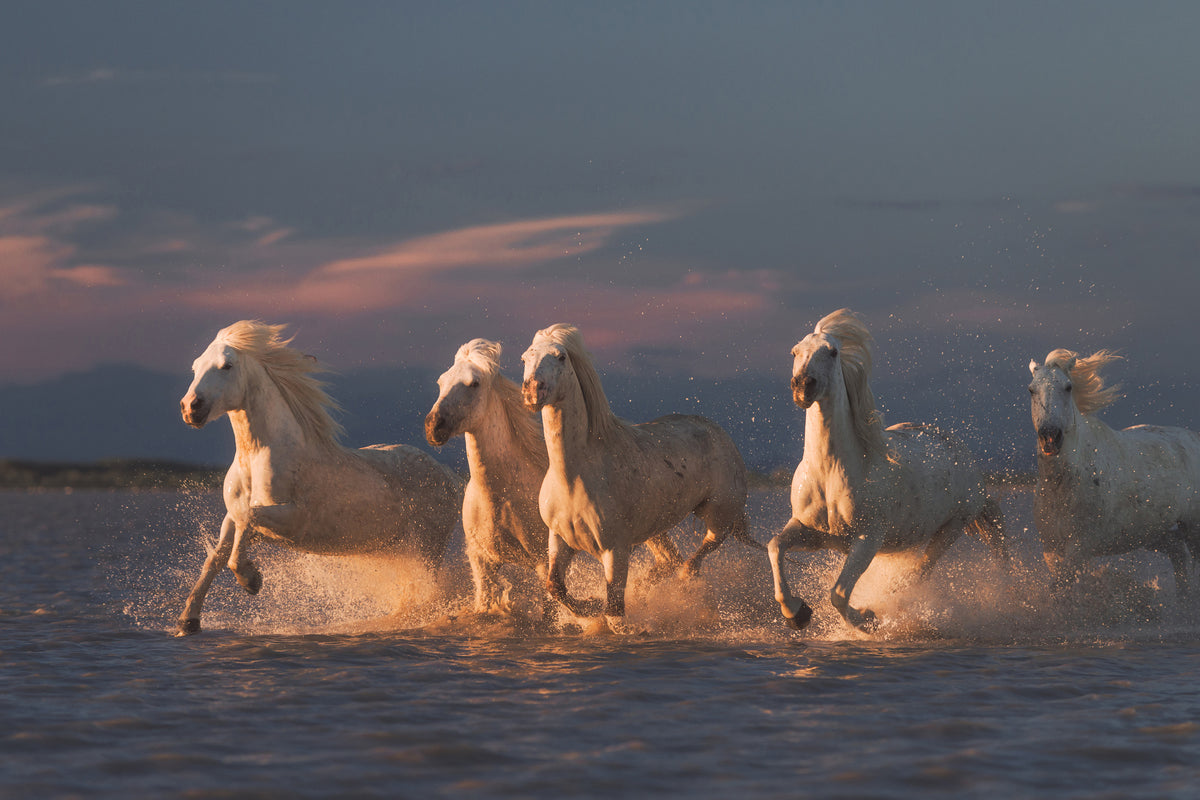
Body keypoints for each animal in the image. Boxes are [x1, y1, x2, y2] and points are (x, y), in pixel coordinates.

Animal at [176, 320, 463, 635]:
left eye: (226, 365)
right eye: (195, 366)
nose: (190, 408)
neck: (257, 459)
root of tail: (450, 476)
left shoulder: (293, 521)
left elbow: (250, 521)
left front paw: (251, 580)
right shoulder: (232, 516)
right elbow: (216, 557)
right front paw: (188, 621)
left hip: (427, 547)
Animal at [424, 338, 687, 618]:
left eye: (473, 383)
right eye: (441, 382)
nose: (433, 426)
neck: (501, 494)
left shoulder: (543, 560)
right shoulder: (482, 560)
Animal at [520, 323, 751, 633]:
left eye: (560, 357)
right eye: (524, 358)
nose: (533, 391)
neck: (574, 476)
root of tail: (719, 432)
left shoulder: (615, 549)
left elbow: (615, 616)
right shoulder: (560, 538)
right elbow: (555, 586)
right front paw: (590, 605)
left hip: (718, 513)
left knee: (702, 549)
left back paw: (684, 581)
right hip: (656, 528)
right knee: (668, 561)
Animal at [767, 309, 1007, 632]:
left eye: (832, 352)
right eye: (795, 352)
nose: (803, 386)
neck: (830, 473)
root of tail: (964, 456)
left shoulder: (867, 539)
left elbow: (838, 594)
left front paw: (868, 619)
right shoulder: (810, 532)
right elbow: (775, 546)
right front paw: (797, 613)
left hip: (951, 527)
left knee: (917, 573)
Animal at [1029, 348, 1200, 597]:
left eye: (1068, 387)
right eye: (1031, 389)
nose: (1050, 436)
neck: (1063, 486)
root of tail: (1193, 438)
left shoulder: (1079, 548)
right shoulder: (1051, 550)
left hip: (1192, 528)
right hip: (1150, 533)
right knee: (1177, 551)